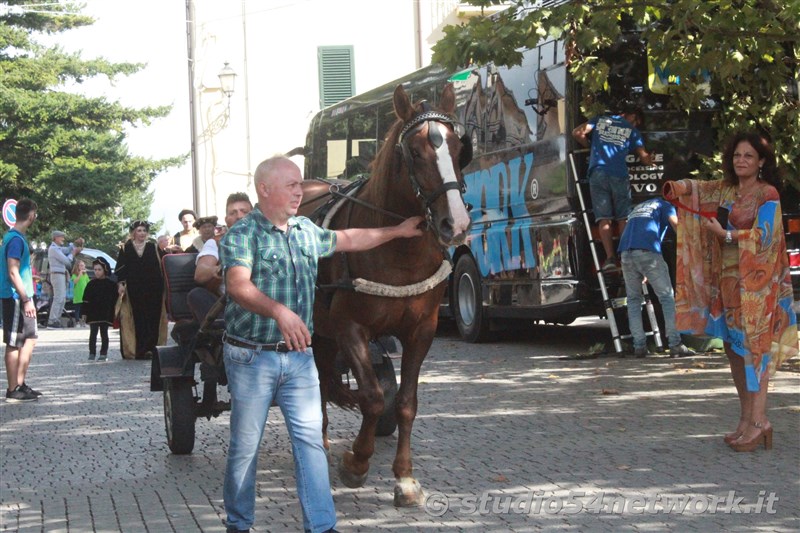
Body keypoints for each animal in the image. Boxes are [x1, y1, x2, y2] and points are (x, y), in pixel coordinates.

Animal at [308, 84, 468, 508]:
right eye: (414, 151)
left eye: (459, 147)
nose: (456, 223)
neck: (397, 248)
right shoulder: (350, 328)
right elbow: (373, 397)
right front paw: (357, 462)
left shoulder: (422, 331)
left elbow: (406, 404)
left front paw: (405, 478)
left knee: (324, 375)